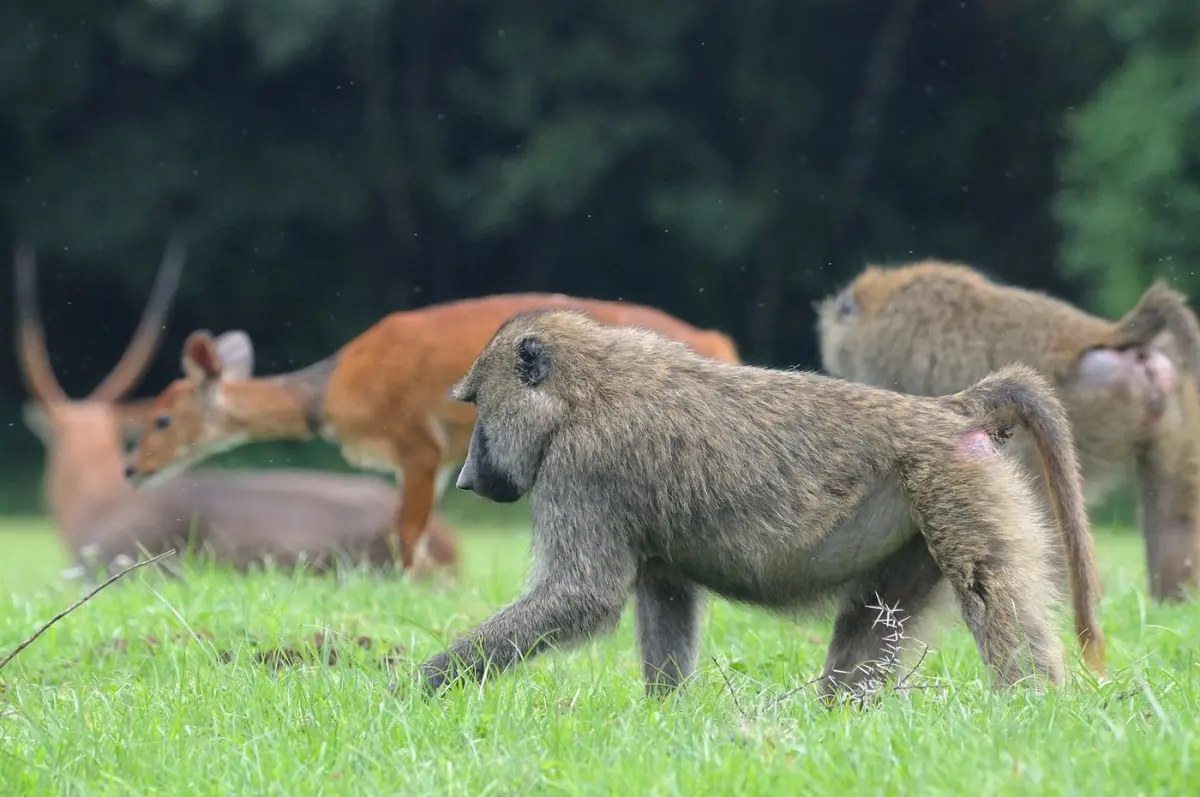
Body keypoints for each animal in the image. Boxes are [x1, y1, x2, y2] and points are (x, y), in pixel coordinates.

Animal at [416, 309, 1106, 700]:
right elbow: (665, 595)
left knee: (990, 590)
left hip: (953, 486)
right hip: (921, 517)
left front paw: (414, 688)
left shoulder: (582, 469)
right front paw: (665, 718)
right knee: (871, 616)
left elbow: (580, 594)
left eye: (475, 405)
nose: (466, 481)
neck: (586, 389)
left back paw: (1031, 710)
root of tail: (950, 410)